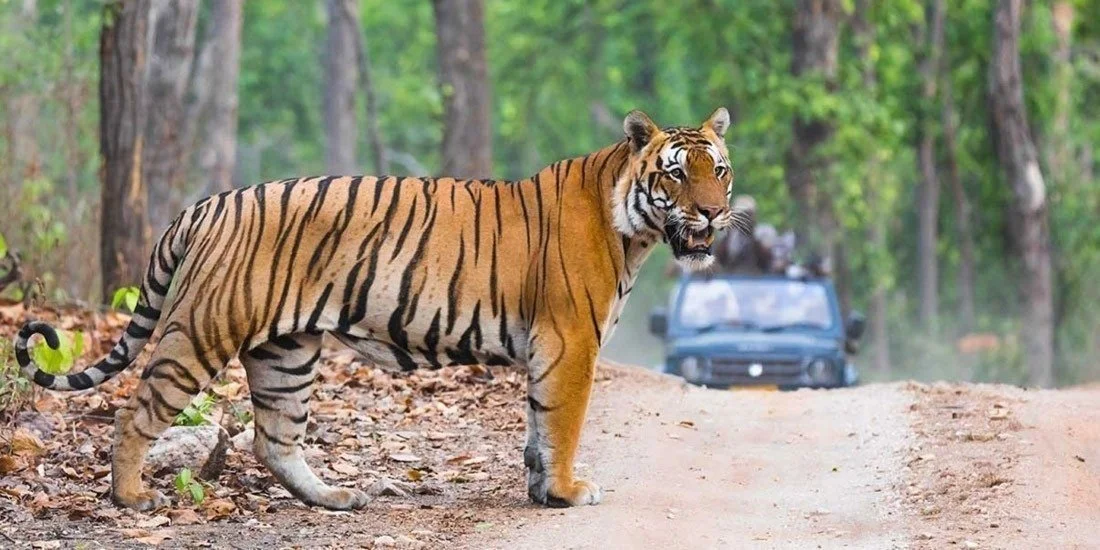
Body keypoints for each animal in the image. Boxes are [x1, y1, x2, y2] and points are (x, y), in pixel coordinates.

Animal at [15, 108, 735, 512]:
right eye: (676, 173)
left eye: (719, 171)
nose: (713, 213)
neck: (632, 228)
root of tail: (208, 202)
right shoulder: (570, 342)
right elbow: (562, 425)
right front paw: (564, 493)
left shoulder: (550, 349)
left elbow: (537, 429)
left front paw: (540, 493)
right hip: (203, 330)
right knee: (137, 411)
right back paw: (131, 497)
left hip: (286, 353)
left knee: (275, 441)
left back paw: (337, 499)